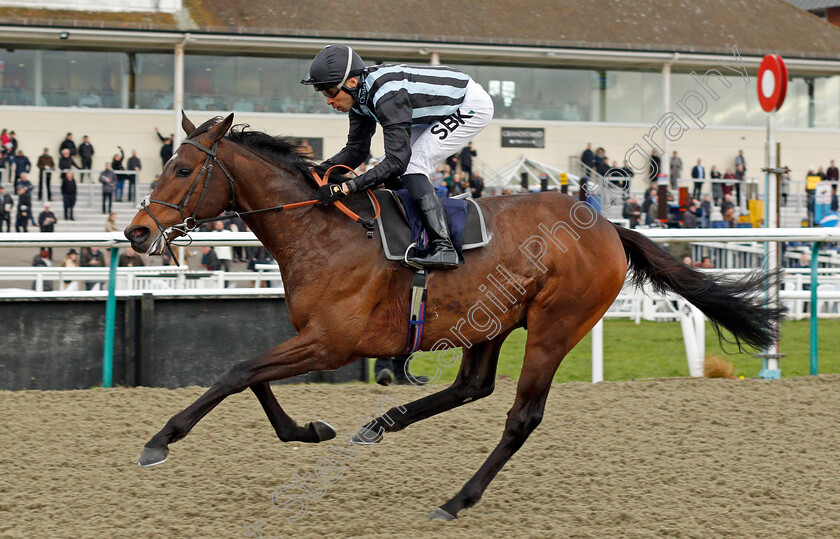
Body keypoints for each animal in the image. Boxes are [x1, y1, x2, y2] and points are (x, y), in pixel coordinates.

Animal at [126, 114, 788, 524]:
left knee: (521, 416)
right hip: (487, 322)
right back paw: (382, 424)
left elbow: (237, 372)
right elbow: (250, 375)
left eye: (182, 170)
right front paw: (310, 430)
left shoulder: (332, 343)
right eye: (162, 164)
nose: (136, 232)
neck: (321, 228)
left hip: (554, 327)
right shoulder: (311, 337)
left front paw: (160, 440)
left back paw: (456, 499)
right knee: (472, 386)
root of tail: (607, 227)